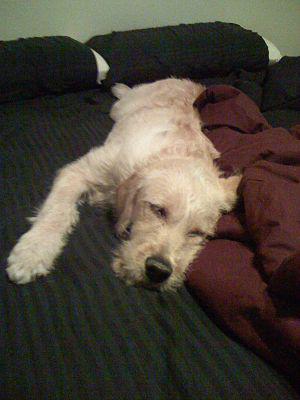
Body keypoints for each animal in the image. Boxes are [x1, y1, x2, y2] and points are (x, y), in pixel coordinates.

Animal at [6, 78, 241, 290]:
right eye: (157, 210)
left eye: (197, 233)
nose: (158, 271)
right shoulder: (78, 171)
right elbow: (57, 212)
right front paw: (33, 252)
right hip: (121, 107)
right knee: (124, 96)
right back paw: (120, 88)